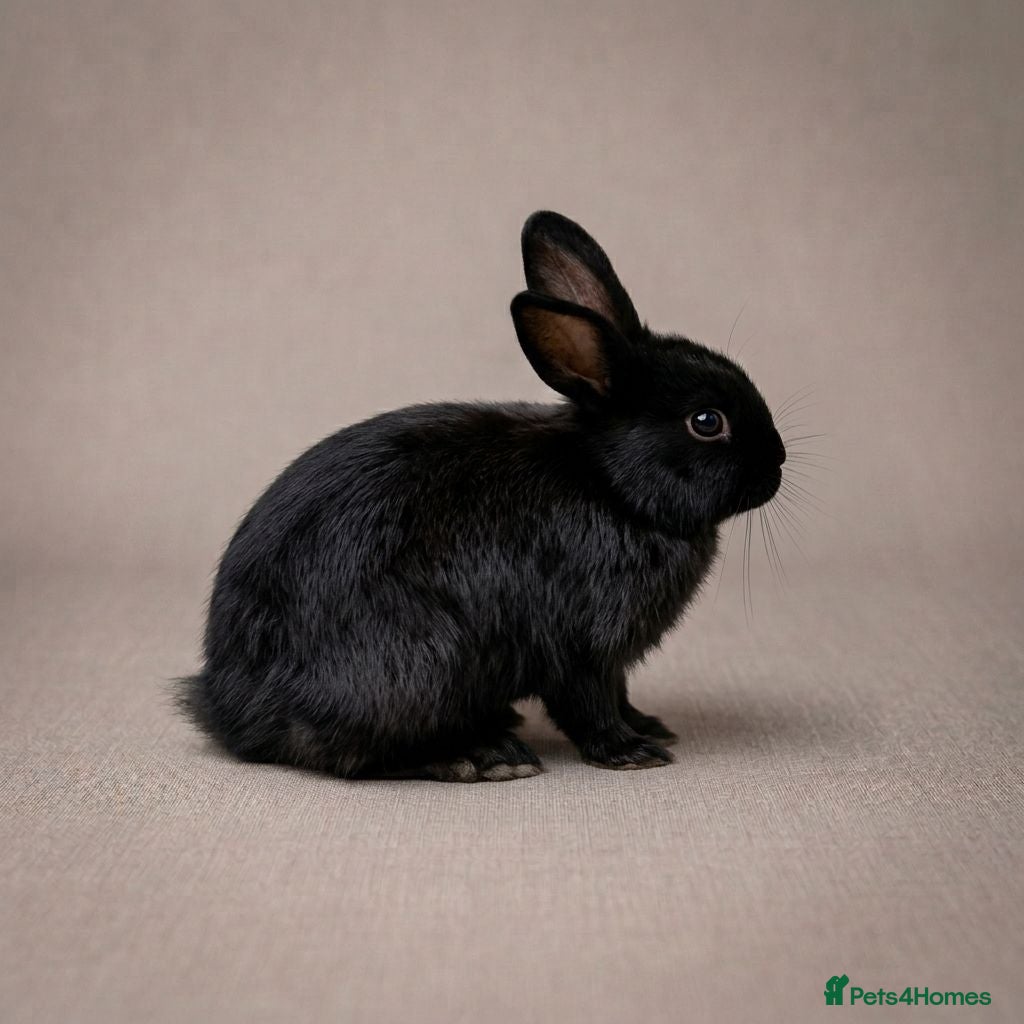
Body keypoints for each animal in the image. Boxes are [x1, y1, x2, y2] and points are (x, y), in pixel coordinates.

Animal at [177, 211, 786, 782]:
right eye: (706, 422)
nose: (777, 463)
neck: (612, 486)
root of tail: (233, 710)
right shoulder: (580, 644)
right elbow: (587, 702)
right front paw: (631, 752)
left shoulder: (612, 660)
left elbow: (619, 692)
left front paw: (648, 725)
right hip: (422, 662)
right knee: (358, 755)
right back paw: (482, 757)